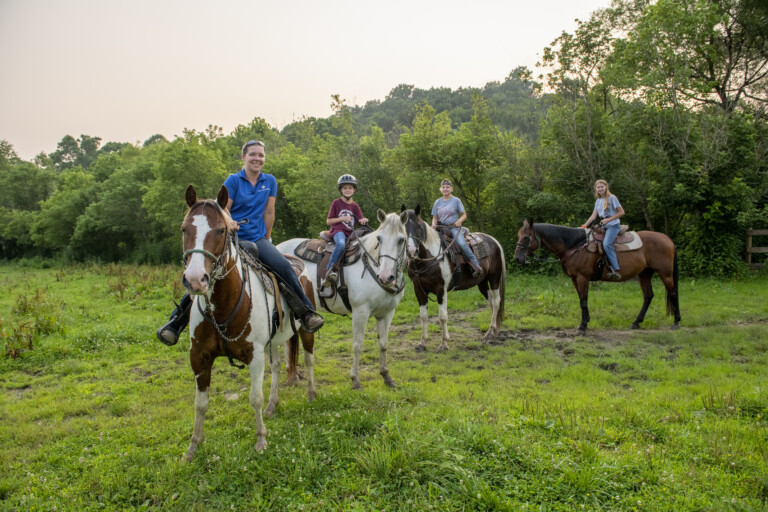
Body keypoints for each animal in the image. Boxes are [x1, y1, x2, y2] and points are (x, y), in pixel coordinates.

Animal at [179, 186, 316, 462]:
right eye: (184, 229)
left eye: (221, 230)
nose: (195, 280)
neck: (222, 307)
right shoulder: (198, 357)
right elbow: (200, 404)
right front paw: (193, 447)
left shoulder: (254, 355)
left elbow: (255, 398)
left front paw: (261, 440)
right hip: (274, 342)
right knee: (277, 366)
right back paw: (273, 405)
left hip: (306, 331)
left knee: (308, 359)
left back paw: (311, 394)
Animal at [276, 210, 408, 390]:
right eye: (379, 239)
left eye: (401, 240)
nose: (386, 276)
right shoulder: (360, 311)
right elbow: (358, 345)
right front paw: (355, 380)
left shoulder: (387, 313)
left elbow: (383, 344)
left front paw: (387, 377)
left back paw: (294, 373)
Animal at [402, 206, 504, 350]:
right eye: (402, 226)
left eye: (419, 227)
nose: (411, 251)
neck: (429, 257)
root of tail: (493, 240)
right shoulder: (419, 289)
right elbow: (423, 316)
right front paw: (422, 343)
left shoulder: (441, 289)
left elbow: (442, 316)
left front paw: (444, 343)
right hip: (482, 282)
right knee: (490, 301)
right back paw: (493, 330)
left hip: (494, 278)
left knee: (496, 302)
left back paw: (490, 331)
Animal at [512, 219, 680, 336]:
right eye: (519, 235)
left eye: (526, 237)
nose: (517, 258)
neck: (574, 246)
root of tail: (668, 240)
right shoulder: (574, 278)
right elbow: (582, 299)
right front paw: (585, 321)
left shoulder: (582, 278)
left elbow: (583, 301)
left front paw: (582, 327)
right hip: (645, 274)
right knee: (648, 296)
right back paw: (636, 322)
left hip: (665, 274)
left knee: (673, 294)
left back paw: (676, 322)